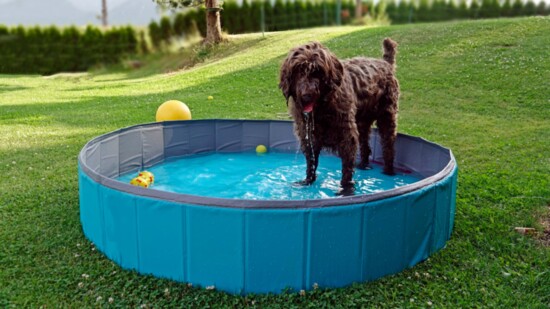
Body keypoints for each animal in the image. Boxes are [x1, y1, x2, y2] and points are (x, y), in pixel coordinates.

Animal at [280, 37, 402, 194]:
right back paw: (364, 165)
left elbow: (347, 167)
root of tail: (386, 63)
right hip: (362, 122)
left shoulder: (346, 135)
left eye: (318, 72)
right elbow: (311, 161)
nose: (307, 96)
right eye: (299, 71)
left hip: (386, 116)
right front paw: (308, 181)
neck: (322, 108)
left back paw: (388, 171)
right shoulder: (309, 136)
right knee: (365, 145)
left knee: (388, 146)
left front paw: (346, 189)